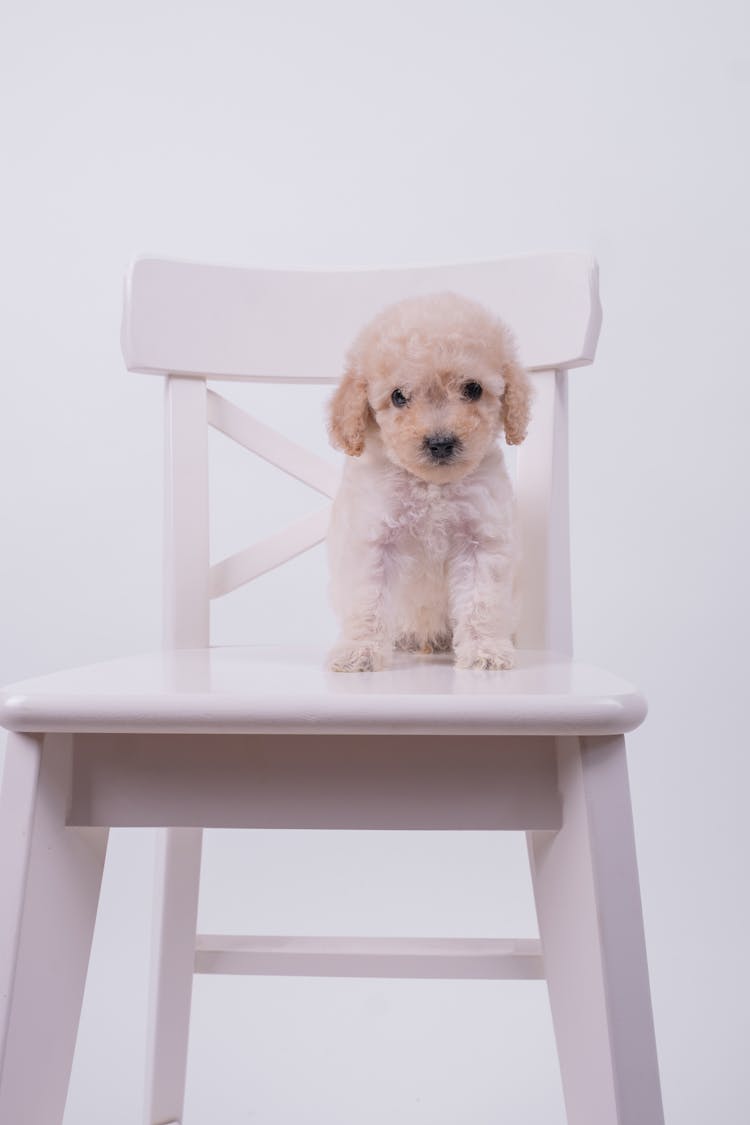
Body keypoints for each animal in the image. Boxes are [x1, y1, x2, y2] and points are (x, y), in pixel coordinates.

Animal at [326, 294, 530, 670]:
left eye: (473, 389)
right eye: (398, 396)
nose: (440, 443)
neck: (433, 487)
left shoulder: (481, 541)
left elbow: (481, 602)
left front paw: (485, 650)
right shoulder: (375, 541)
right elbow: (368, 601)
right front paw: (360, 651)